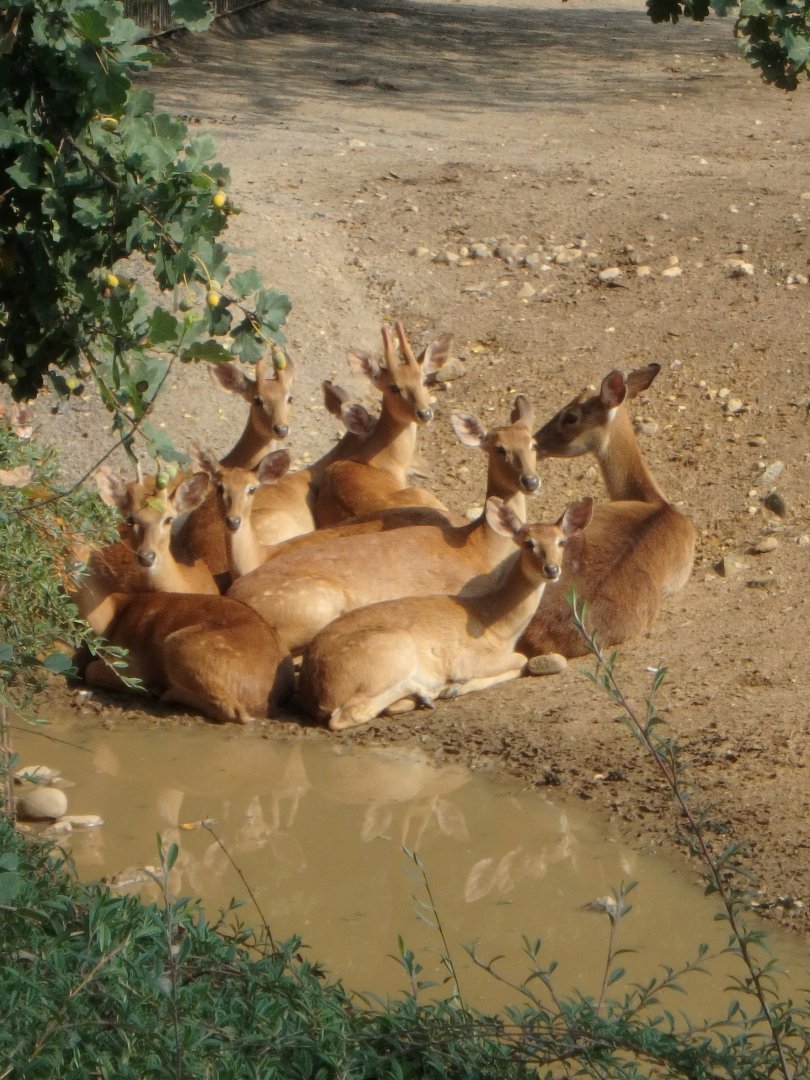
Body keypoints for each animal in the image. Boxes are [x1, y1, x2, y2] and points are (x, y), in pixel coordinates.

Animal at [297, 495, 593, 730]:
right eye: (528, 542)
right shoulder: (468, 657)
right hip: (392, 650)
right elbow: (520, 660)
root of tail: (315, 690)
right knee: (346, 715)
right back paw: (428, 692)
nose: (552, 569)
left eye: (561, 541)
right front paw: (455, 686)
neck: (495, 623)